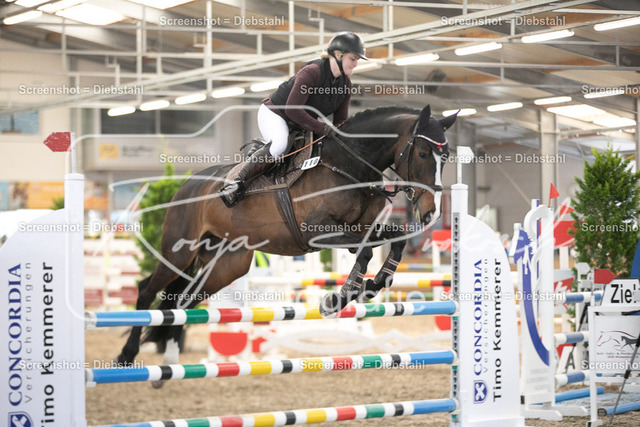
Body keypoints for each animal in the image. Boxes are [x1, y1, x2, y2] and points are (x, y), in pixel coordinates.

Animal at [116, 104, 457, 382]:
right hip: (180, 252)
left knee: (185, 299)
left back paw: (170, 361)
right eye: (423, 154)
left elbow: (393, 241)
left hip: (228, 264)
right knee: (148, 289)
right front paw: (339, 298)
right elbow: (366, 251)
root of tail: (185, 184)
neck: (350, 165)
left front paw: (374, 284)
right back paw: (127, 355)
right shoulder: (317, 231)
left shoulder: (359, 229)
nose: (431, 213)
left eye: (446, 157)